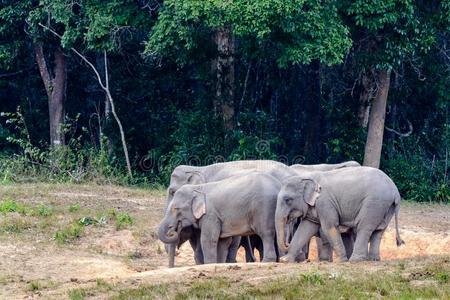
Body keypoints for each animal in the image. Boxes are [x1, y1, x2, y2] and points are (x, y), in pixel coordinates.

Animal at [274, 166, 404, 262]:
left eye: (288, 200)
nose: (287, 244)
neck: (308, 177)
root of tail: (395, 191)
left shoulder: (325, 202)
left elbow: (329, 227)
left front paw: (341, 261)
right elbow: (306, 228)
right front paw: (285, 260)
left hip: (375, 203)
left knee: (364, 228)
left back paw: (355, 260)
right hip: (386, 207)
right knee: (379, 231)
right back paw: (374, 260)